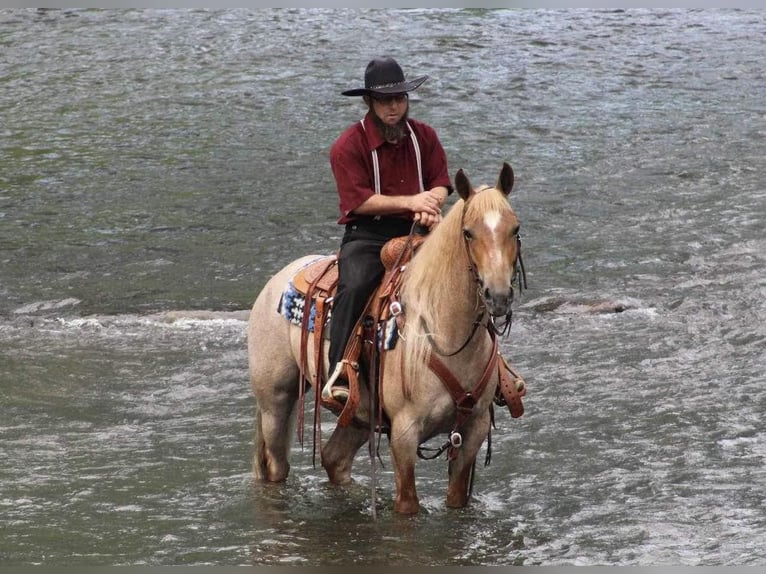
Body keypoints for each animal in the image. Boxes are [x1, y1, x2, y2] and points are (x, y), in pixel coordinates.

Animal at [249, 163, 524, 516]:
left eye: (515, 229)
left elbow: (456, 500)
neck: (445, 336)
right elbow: (407, 505)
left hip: (357, 415)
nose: (499, 297)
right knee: (276, 466)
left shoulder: (472, 431)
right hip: (275, 399)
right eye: (468, 232)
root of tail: (278, 278)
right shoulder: (404, 435)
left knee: (334, 459)